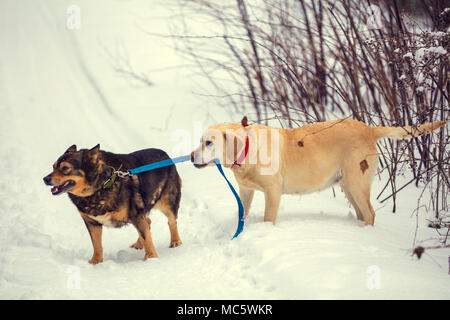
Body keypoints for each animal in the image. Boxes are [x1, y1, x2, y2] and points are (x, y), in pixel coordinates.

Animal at [43, 144, 181, 264]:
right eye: (53, 167)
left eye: (65, 168)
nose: (45, 179)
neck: (101, 185)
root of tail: (165, 154)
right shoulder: (92, 223)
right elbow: (97, 245)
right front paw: (96, 262)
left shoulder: (136, 215)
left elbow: (147, 237)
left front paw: (151, 258)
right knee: (148, 222)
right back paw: (138, 244)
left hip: (168, 202)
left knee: (171, 221)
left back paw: (175, 241)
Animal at [192, 117, 448, 225]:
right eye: (200, 141)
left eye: (209, 143)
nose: (192, 156)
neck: (248, 150)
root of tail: (368, 128)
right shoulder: (245, 191)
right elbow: (241, 214)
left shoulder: (273, 192)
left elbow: (268, 218)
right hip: (348, 186)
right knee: (362, 213)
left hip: (356, 183)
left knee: (370, 214)